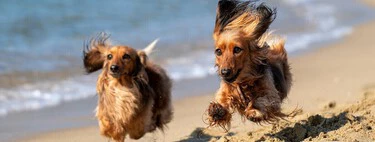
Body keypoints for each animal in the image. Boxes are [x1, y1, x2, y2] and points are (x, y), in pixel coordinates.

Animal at [207, 0, 292, 130]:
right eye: (218, 51)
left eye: (237, 49)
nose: (224, 72)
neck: (243, 82)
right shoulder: (225, 91)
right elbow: (222, 99)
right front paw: (217, 110)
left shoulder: (271, 95)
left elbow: (261, 100)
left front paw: (254, 111)